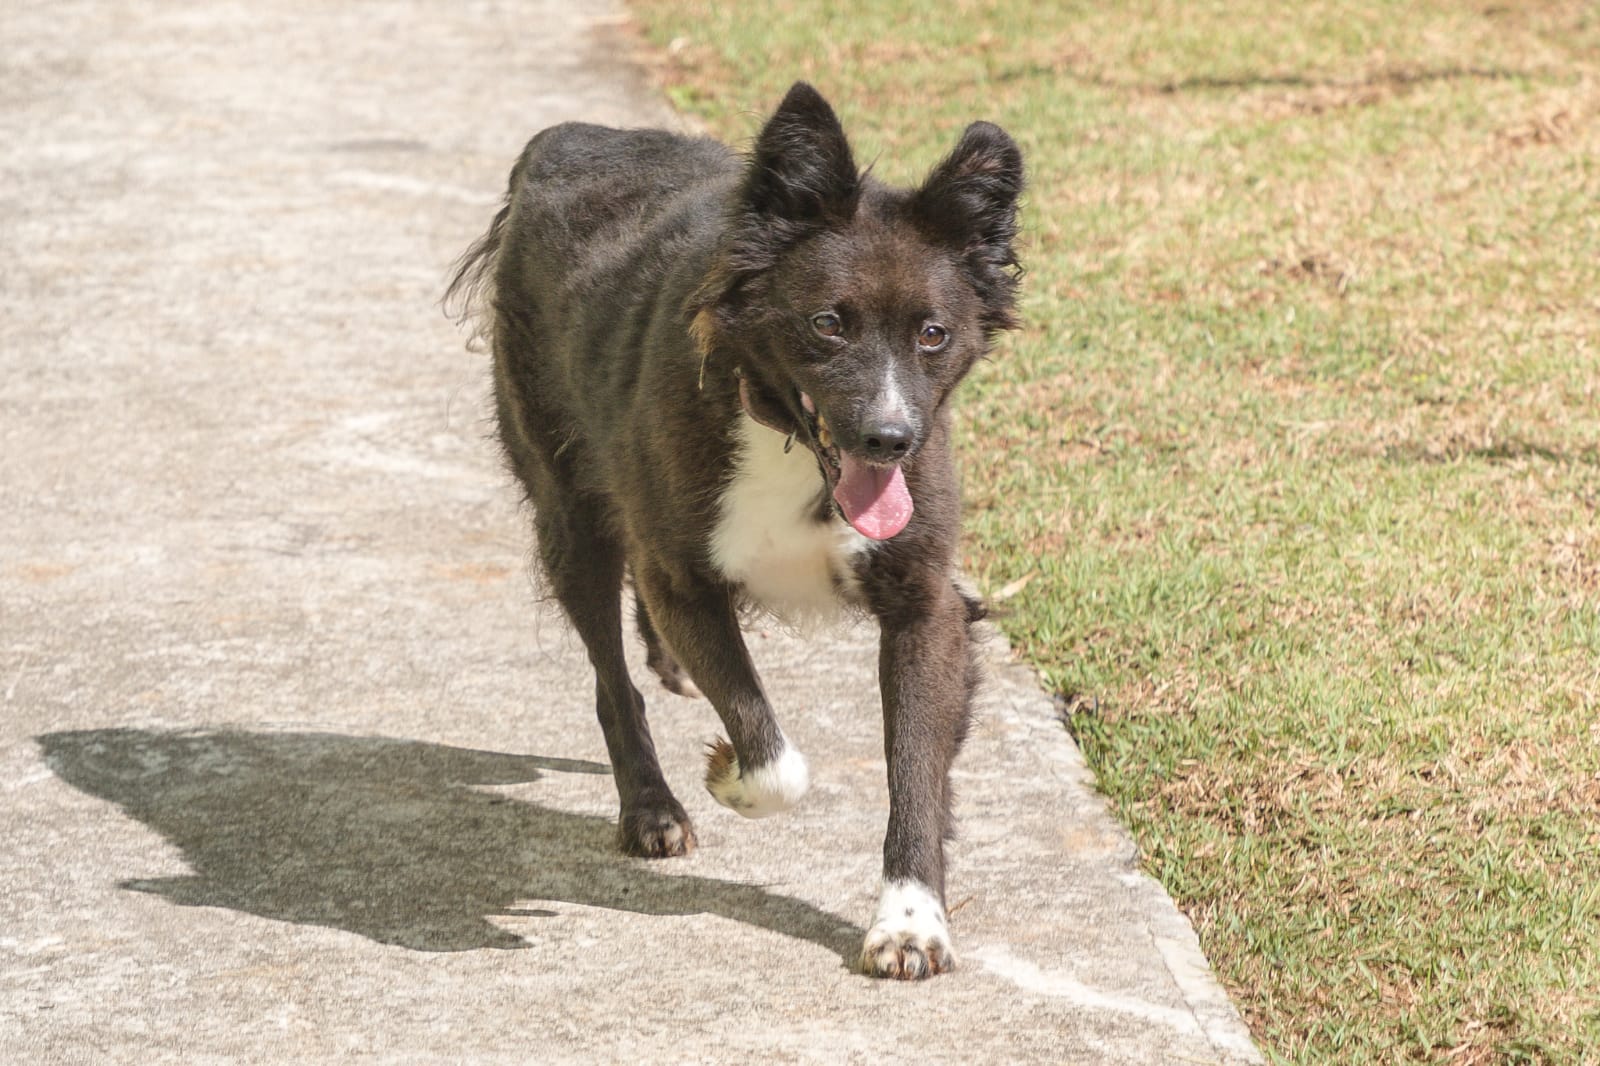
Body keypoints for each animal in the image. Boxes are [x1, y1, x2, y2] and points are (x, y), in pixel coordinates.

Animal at [447, 82, 1023, 979]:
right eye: (828, 324)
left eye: (933, 334)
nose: (891, 441)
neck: (789, 438)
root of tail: (569, 136)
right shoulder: (683, 578)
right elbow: (773, 754)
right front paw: (724, 774)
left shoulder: (925, 603)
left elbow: (915, 768)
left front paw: (909, 922)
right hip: (569, 512)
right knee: (612, 677)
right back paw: (650, 807)